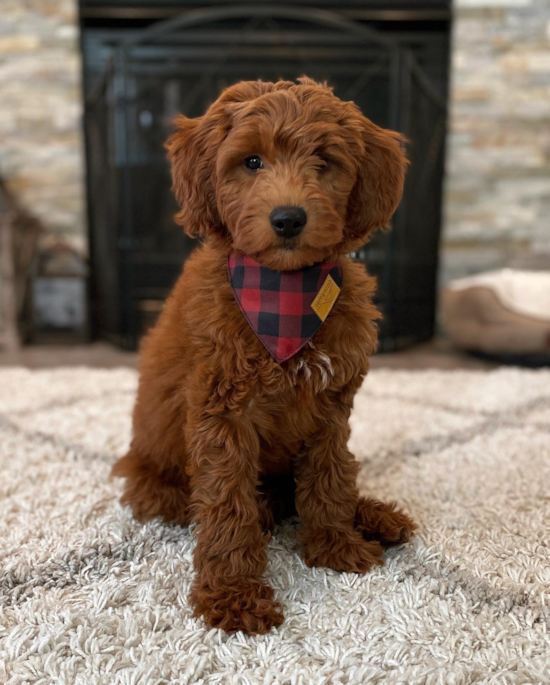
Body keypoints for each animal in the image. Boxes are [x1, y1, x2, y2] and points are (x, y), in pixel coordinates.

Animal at [114, 77, 416, 632]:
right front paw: (233, 595)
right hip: (160, 477)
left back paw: (373, 516)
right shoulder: (222, 412)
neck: (284, 292)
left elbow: (329, 476)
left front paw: (335, 545)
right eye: (252, 162)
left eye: (324, 161)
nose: (289, 219)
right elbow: (227, 505)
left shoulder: (330, 405)